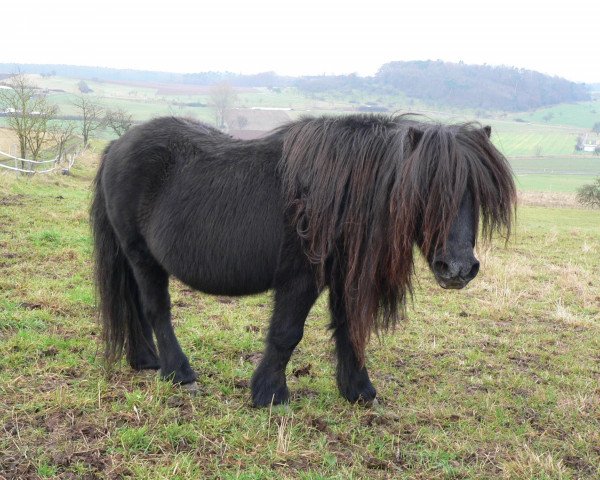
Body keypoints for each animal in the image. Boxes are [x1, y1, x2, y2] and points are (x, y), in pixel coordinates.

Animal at [90, 115, 516, 404]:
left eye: (478, 192)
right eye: (425, 189)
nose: (458, 268)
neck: (344, 189)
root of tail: (116, 146)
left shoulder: (344, 276)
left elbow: (349, 329)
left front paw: (359, 390)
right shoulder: (301, 279)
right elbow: (286, 334)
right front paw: (269, 394)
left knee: (135, 307)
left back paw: (145, 360)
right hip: (143, 256)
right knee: (156, 310)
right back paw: (179, 372)